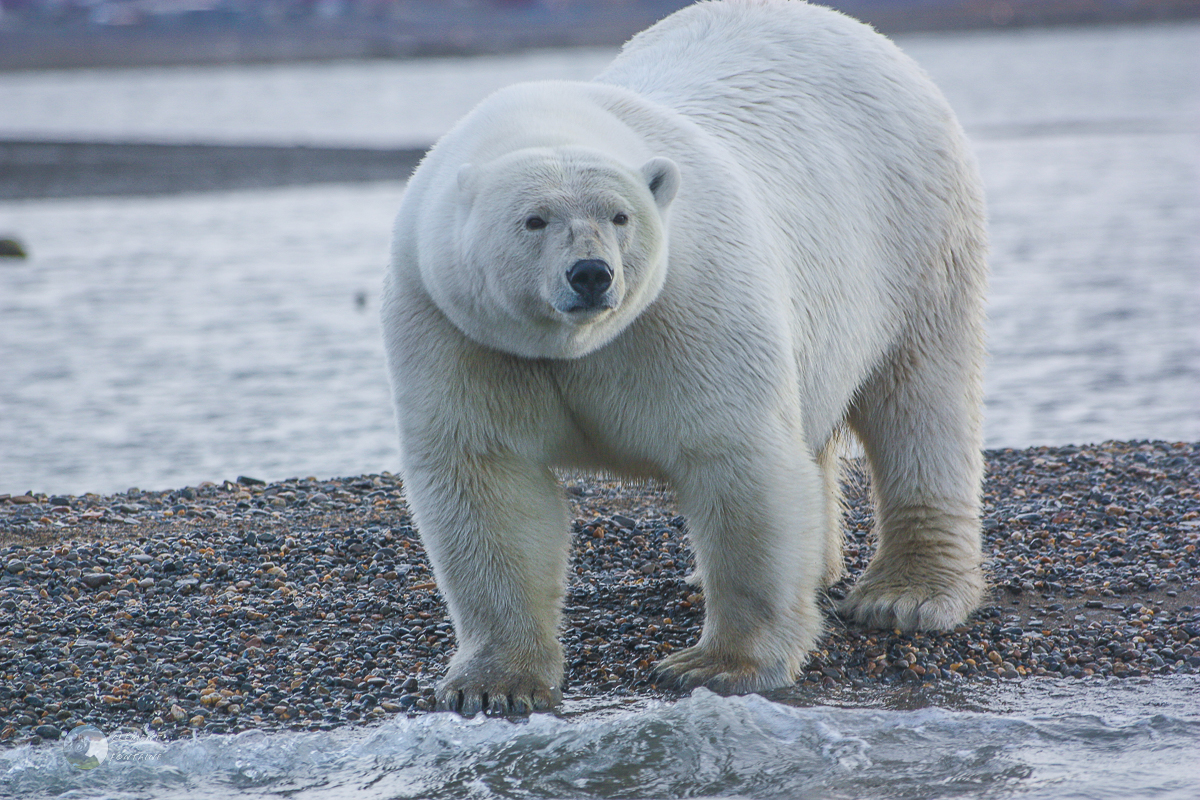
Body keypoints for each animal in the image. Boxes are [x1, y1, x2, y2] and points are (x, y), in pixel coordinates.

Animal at [381, 0, 984, 714]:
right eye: (534, 220)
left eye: (620, 217)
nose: (592, 274)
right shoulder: (456, 329)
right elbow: (485, 476)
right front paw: (492, 684)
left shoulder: (688, 302)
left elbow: (737, 458)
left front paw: (718, 665)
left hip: (914, 237)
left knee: (920, 402)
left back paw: (906, 596)